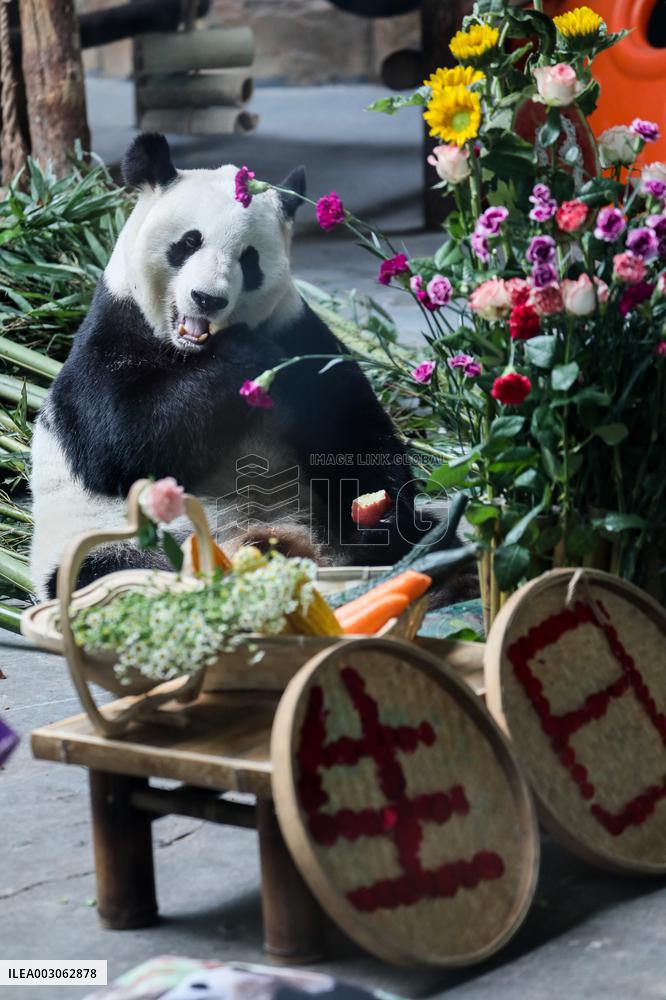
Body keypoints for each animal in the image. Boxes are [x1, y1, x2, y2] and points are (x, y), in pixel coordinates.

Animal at [30, 133, 424, 599]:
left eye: (249, 259)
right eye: (189, 242)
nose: (208, 298)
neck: (191, 351)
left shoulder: (303, 335)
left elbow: (352, 432)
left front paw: (382, 517)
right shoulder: (111, 333)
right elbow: (117, 440)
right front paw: (248, 353)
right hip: (103, 539)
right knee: (107, 570)